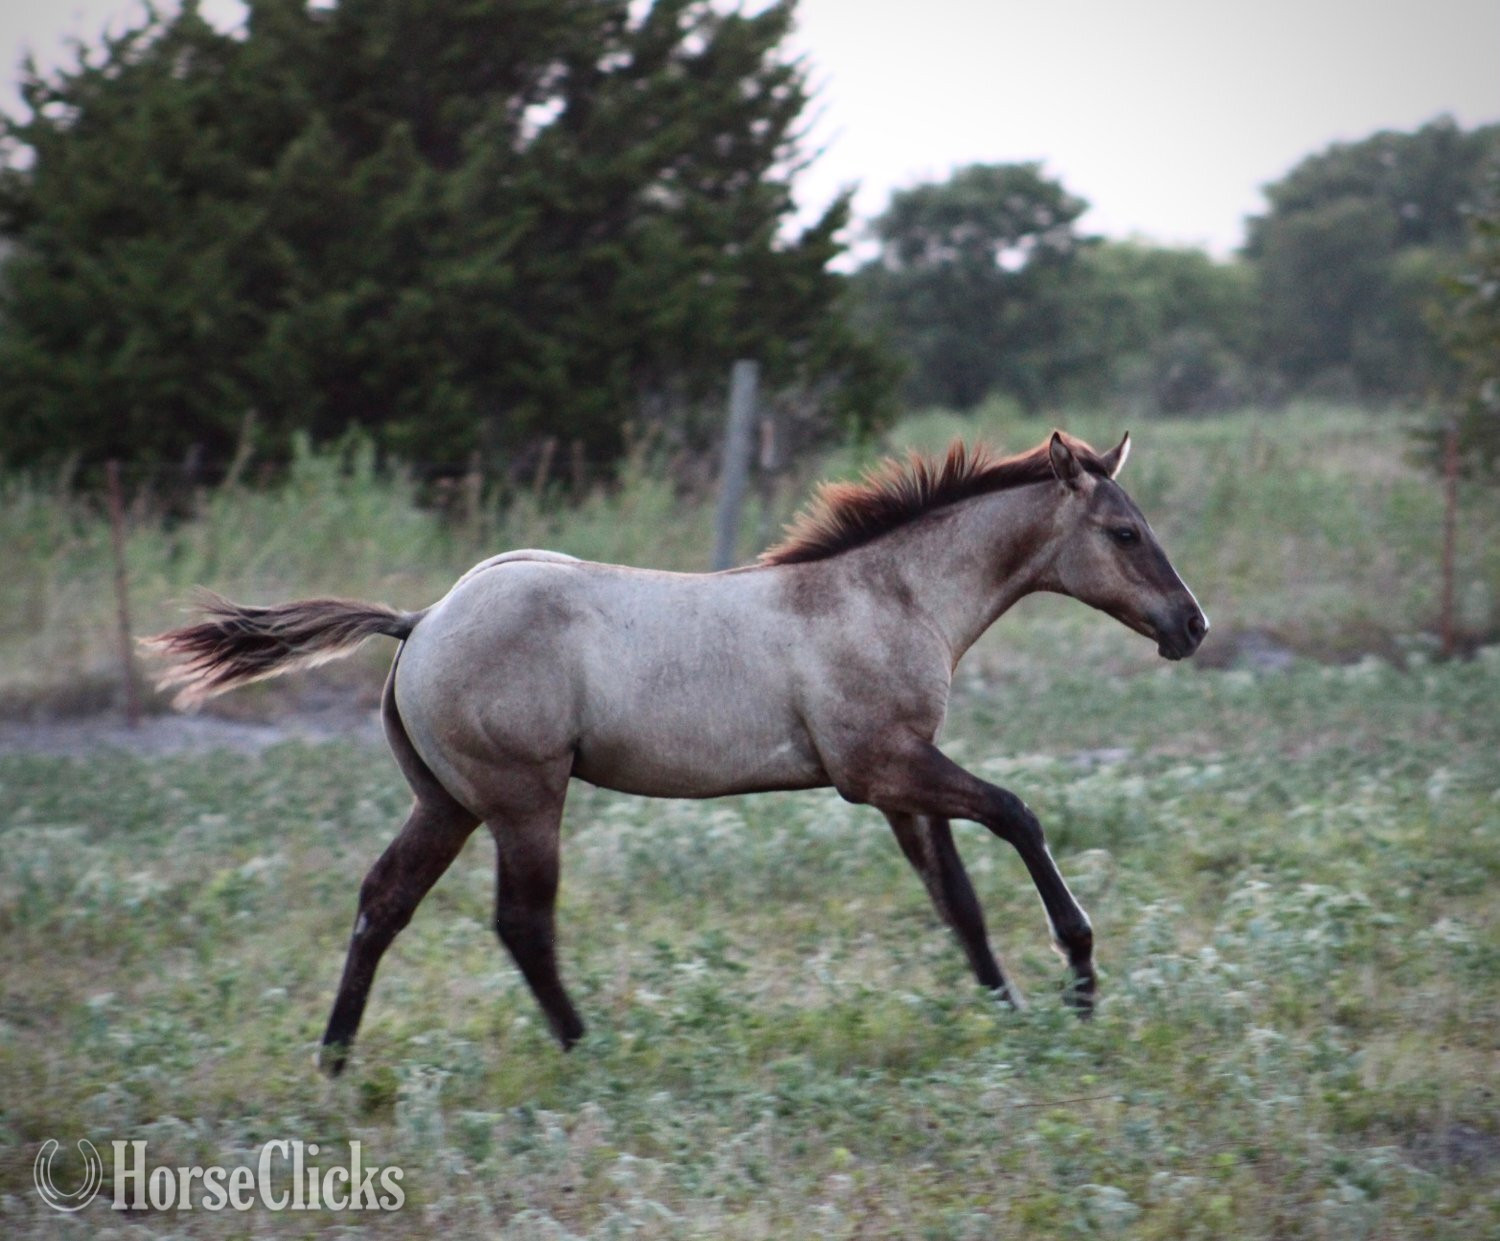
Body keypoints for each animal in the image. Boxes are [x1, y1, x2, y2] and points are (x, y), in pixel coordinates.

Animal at [144, 430, 1206, 1074]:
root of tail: (422, 619)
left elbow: (960, 902)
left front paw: (1011, 1010)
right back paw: (587, 1054)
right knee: (521, 922)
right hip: (523, 799)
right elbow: (1018, 816)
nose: (1190, 625)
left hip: (447, 803)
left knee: (383, 902)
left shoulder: (900, 782)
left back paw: (334, 1060)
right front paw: (1079, 976)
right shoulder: (881, 770)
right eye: (1125, 531)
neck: (885, 595)